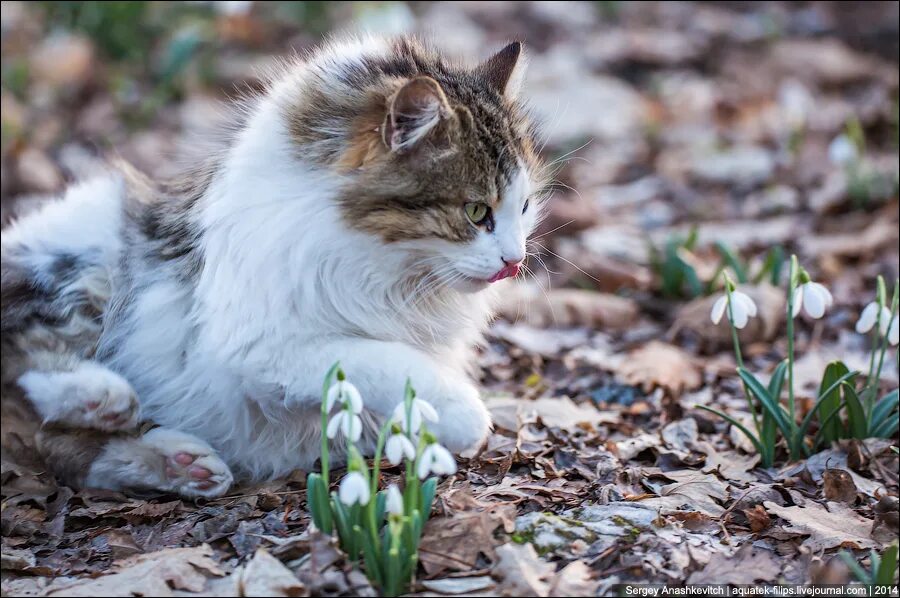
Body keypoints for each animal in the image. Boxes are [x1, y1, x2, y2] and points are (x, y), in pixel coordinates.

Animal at [0, 35, 544, 500]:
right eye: (476, 211)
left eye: (523, 207)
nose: (514, 261)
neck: (389, 269)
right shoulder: (263, 347)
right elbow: (387, 363)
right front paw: (462, 416)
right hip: (89, 249)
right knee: (28, 368)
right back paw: (102, 396)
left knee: (67, 450)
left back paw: (184, 464)